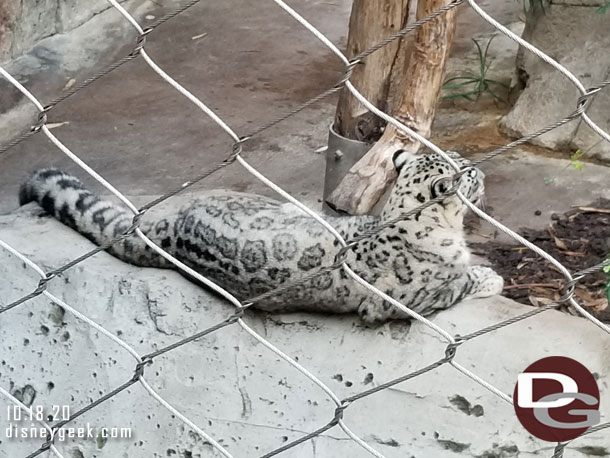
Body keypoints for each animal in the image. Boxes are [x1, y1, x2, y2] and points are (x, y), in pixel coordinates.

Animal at [20, 150, 504, 322]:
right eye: (466, 169)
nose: (482, 172)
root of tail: (170, 229)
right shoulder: (410, 299)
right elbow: (460, 281)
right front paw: (490, 276)